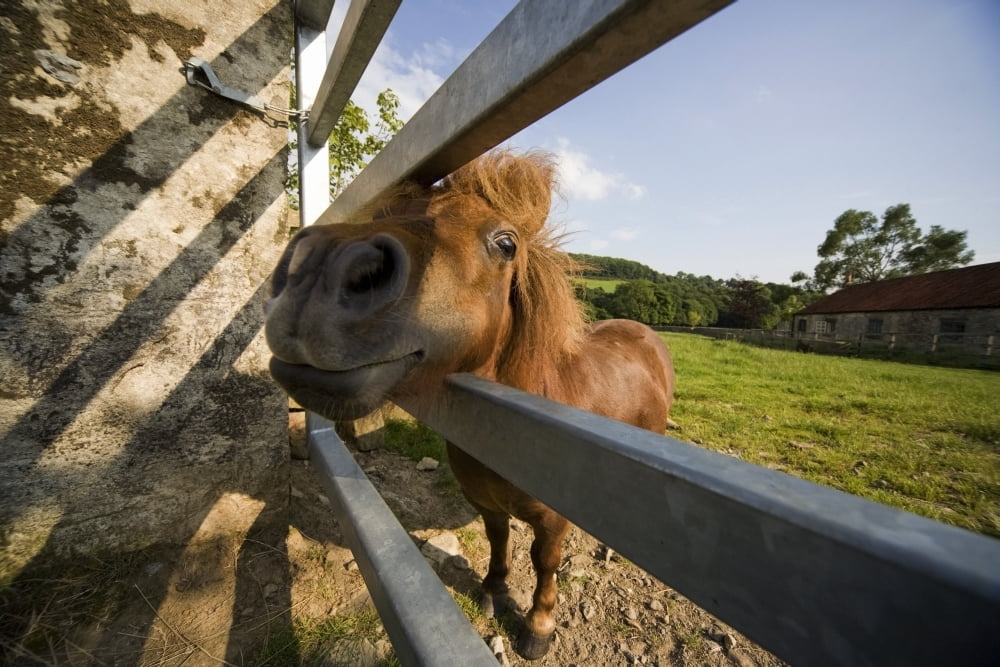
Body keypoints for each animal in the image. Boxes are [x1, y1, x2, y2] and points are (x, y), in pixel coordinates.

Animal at [265, 150, 675, 660]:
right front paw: (493, 592)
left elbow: (545, 562)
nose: (320, 266)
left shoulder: (553, 521)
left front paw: (538, 626)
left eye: (506, 243)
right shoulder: (486, 503)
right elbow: (499, 542)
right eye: (384, 214)